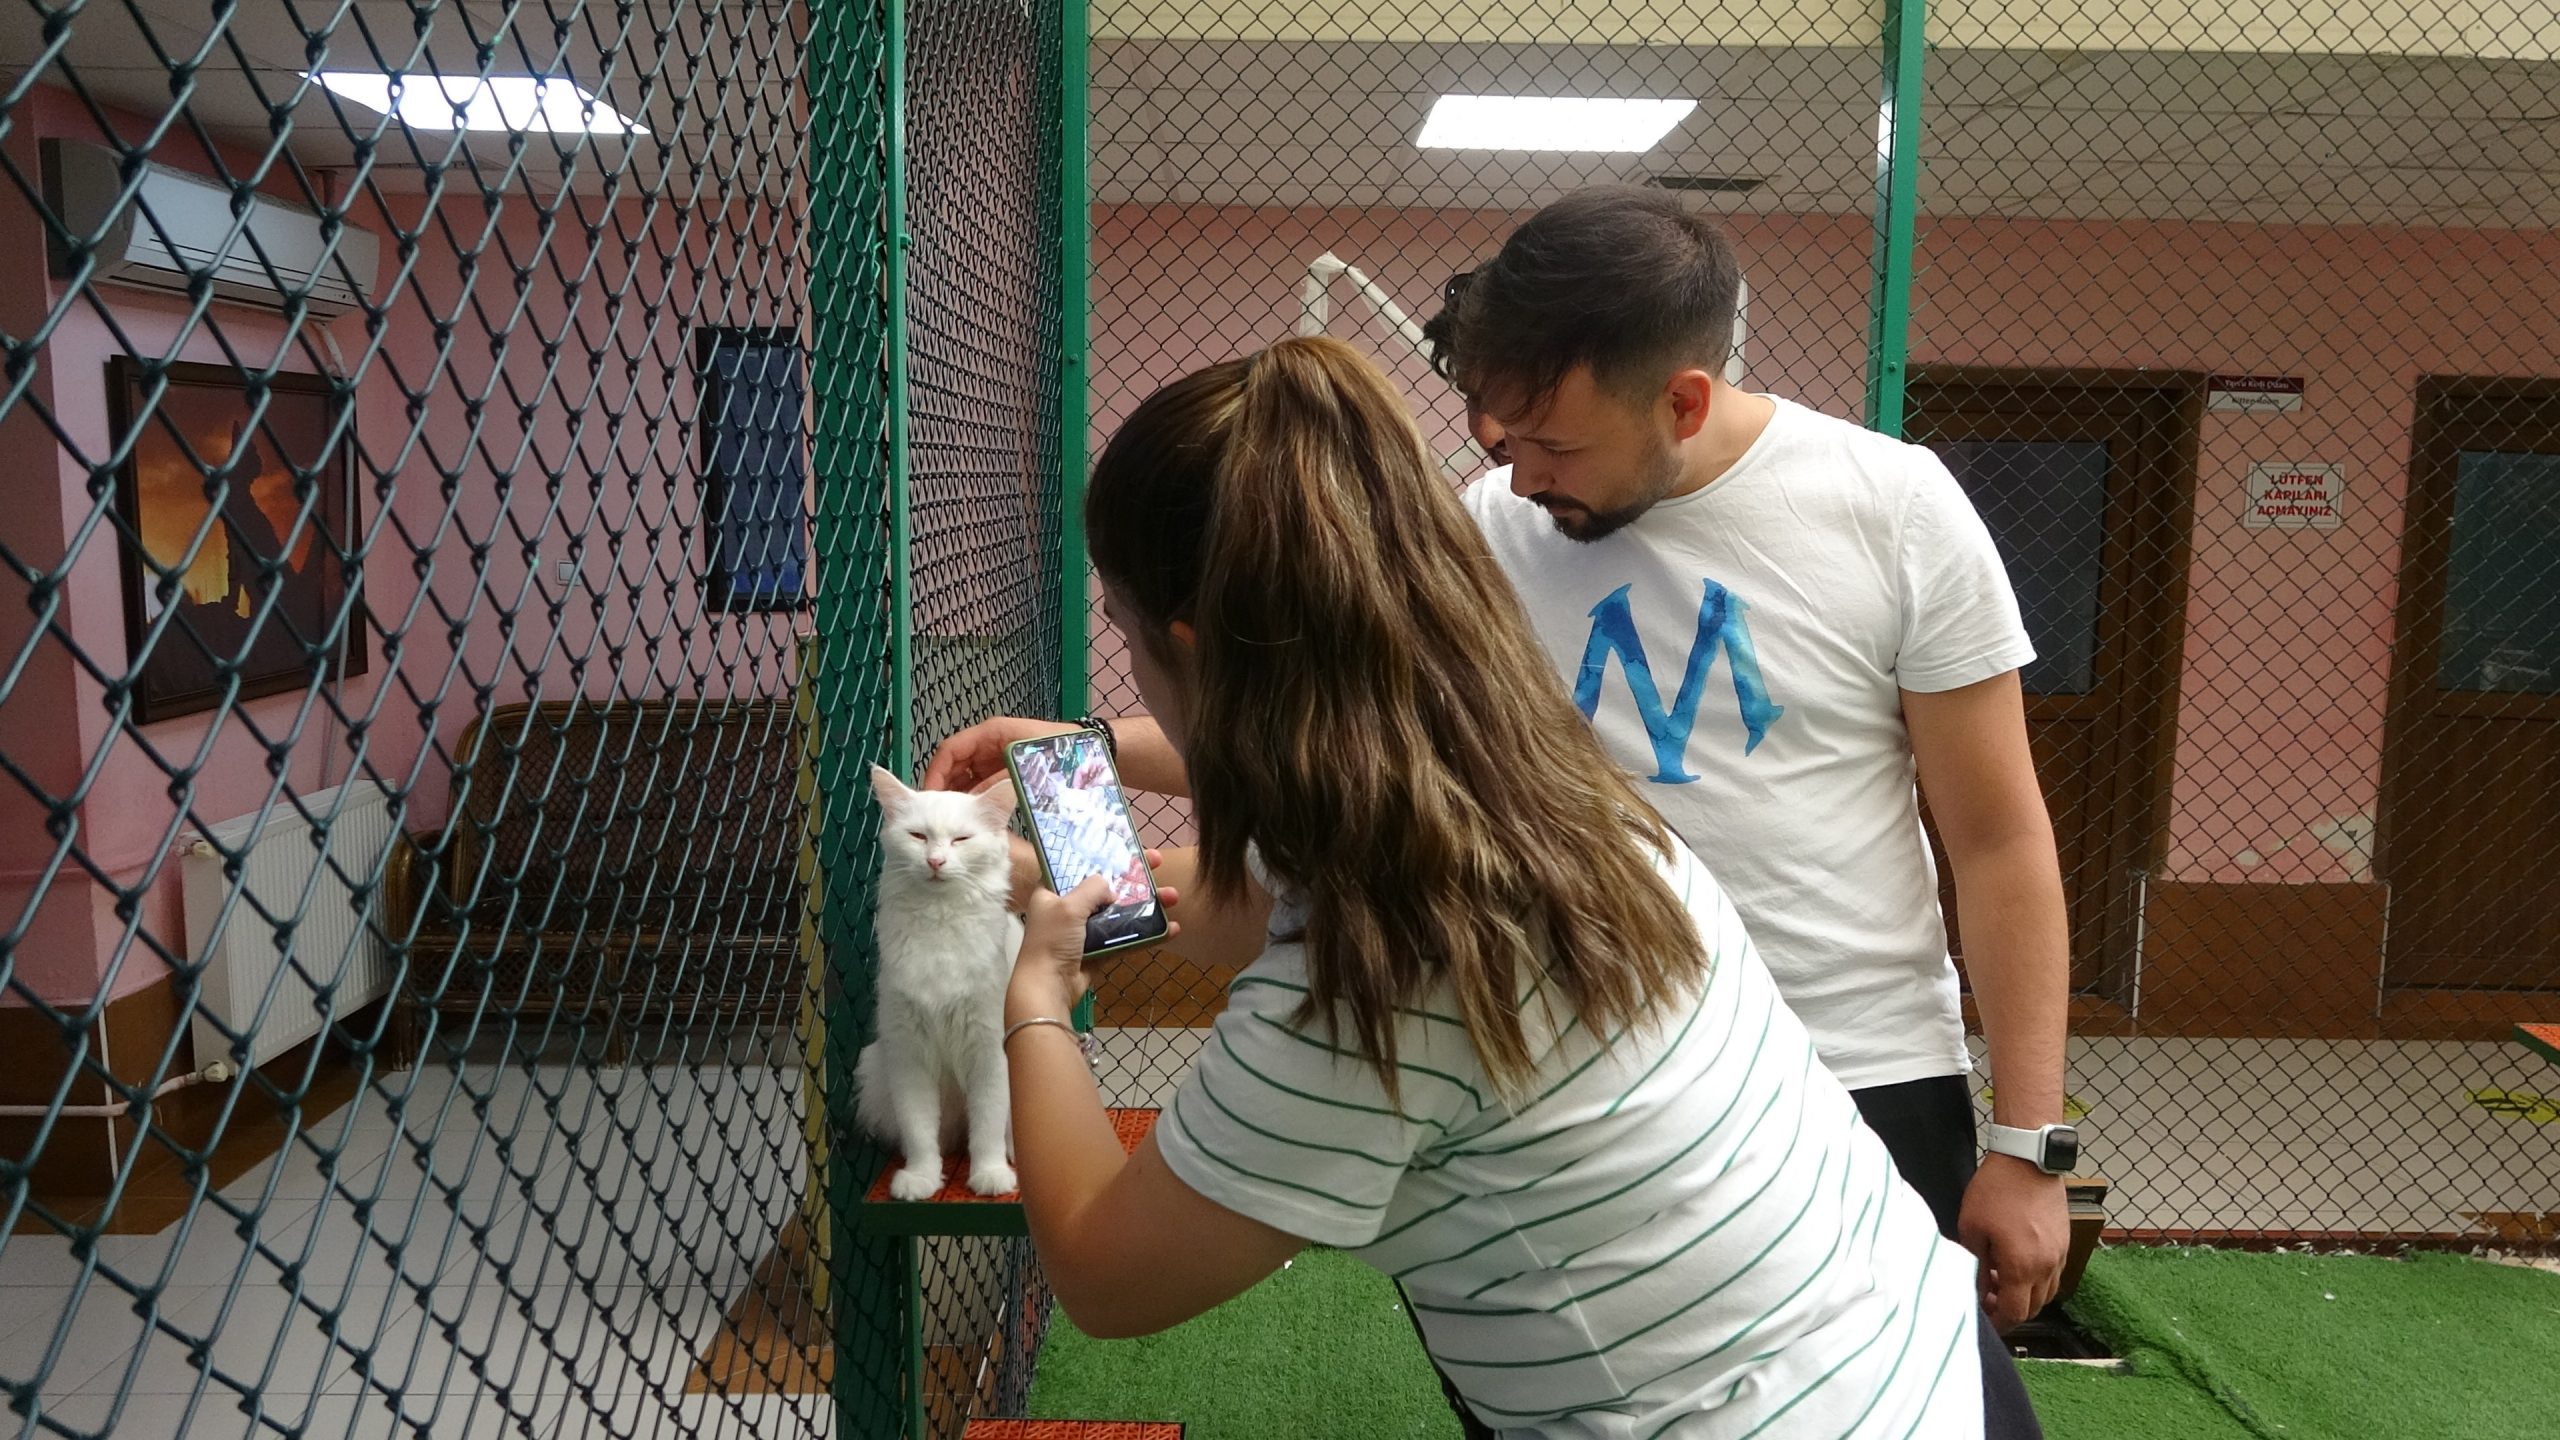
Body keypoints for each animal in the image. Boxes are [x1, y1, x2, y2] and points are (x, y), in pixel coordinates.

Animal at [856, 766, 1026, 1200]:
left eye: (961, 840)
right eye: (918, 836)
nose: (935, 861)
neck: (939, 920)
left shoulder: (988, 1052)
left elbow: (987, 1127)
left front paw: (990, 1175)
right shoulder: (908, 1054)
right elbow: (919, 1131)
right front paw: (921, 1178)